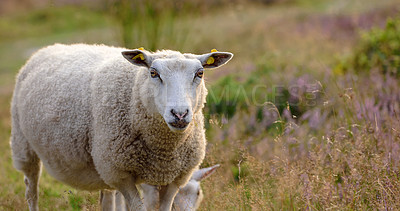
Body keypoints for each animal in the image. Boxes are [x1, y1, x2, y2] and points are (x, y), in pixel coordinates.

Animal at [9, 43, 233, 211]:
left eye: (200, 73)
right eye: (153, 73)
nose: (179, 114)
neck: (163, 151)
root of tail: (50, 47)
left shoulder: (175, 177)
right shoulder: (121, 173)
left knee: (107, 198)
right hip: (24, 146)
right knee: (31, 191)